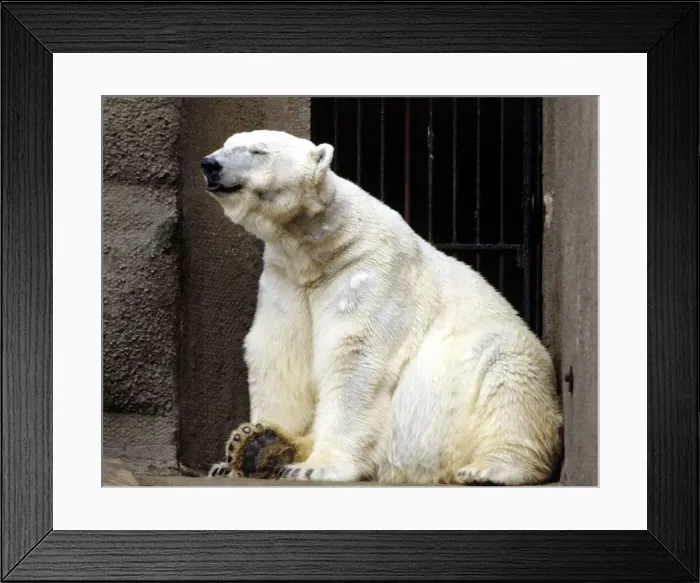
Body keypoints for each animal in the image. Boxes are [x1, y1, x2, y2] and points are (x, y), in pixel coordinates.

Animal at [201, 129, 563, 485]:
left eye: (258, 151)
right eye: (227, 143)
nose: (210, 164)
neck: (320, 249)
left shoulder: (370, 273)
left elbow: (355, 357)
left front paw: (316, 467)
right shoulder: (285, 281)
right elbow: (280, 355)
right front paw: (242, 449)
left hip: (497, 371)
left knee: (508, 380)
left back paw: (488, 469)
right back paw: (258, 445)